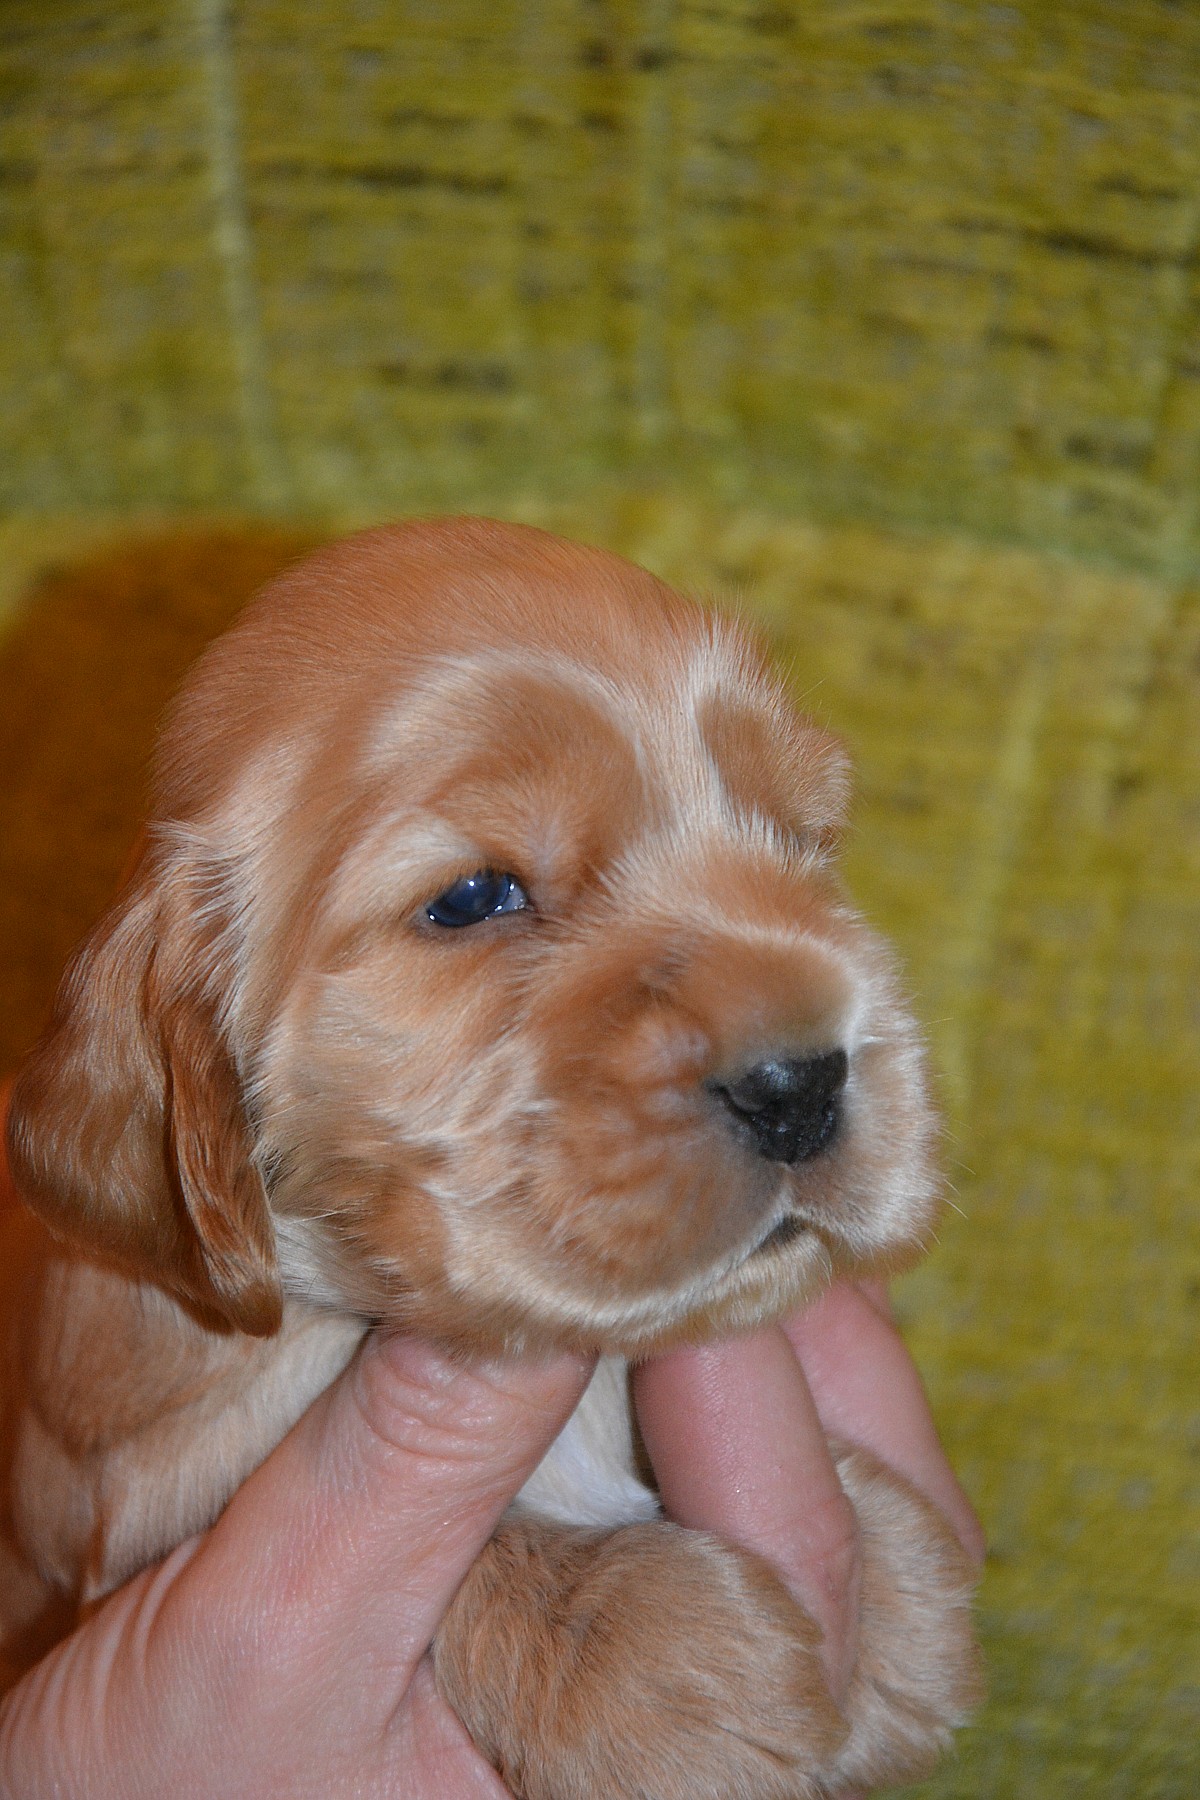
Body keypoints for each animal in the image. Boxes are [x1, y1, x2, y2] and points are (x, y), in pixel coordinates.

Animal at [1, 518, 980, 1795]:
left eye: (806, 840)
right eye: (473, 897)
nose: (802, 1085)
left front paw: (897, 1585)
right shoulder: (134, 1487)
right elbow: (466, 1549)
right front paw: (665, 1661)